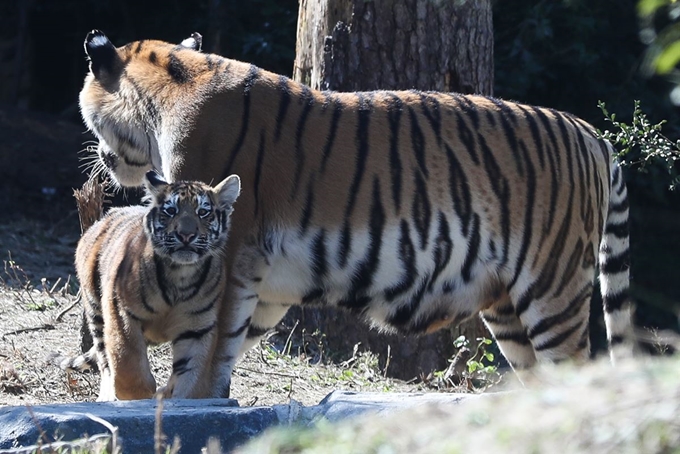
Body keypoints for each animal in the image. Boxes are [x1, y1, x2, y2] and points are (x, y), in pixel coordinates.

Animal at [51, 171, 242, 400]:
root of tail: (101, 220)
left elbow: (191, 375)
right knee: (104, 357)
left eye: (203, 212)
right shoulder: (121, 312)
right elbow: (128, 363)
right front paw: (139, 396)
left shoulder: (197, 328)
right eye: (171, 211)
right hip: (95, 306)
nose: (186, 235)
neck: (181, 274)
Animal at [78, 30, 632, 396]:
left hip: (554, 289)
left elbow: (206, 351)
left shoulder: (229, 257)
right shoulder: (266, 282)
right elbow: (225, 347)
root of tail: (594, 136)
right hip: (508, 307)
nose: (99, 157)